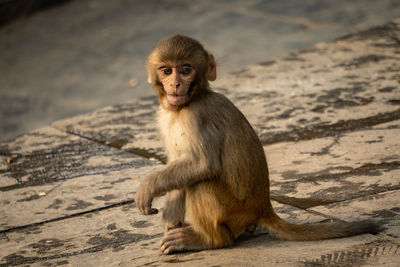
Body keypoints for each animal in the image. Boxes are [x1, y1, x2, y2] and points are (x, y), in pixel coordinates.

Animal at [133, 34, 380, 254]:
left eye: (185, 70)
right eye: (166, 70)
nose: (175, 84)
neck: (185, 105)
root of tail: (263, 207)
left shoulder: (196, 116)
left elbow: (203, 164)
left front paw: (148, 186)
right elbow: (180, 165)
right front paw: (170, 220)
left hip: (234, 211)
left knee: (200, 182)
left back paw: (210, 240)